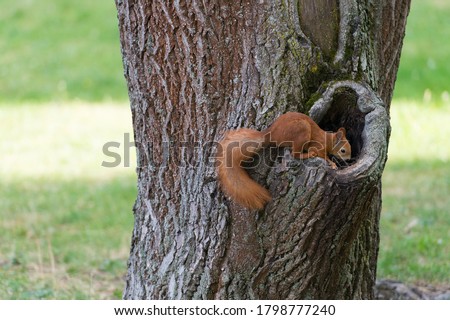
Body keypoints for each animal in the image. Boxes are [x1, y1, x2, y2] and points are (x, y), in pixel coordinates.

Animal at [217, 112, 352, 210]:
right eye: (343, 151)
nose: (349, 159)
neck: (328, 140)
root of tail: (271, 134)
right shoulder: (317, 146)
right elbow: (323, 156)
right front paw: (332, 164)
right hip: (301, 130)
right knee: (295, 154)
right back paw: (308, 154)